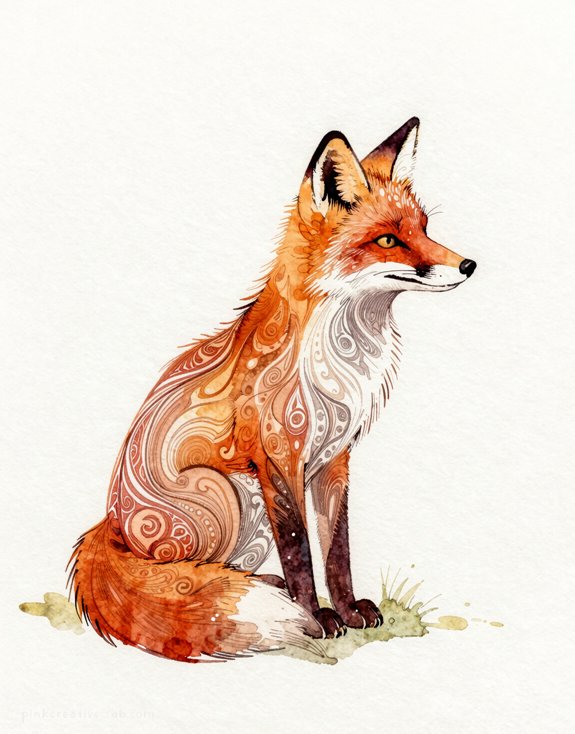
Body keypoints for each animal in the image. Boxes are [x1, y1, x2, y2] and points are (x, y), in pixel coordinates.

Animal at [68, 117, 476, 662]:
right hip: (225, 494)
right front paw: (315, 619)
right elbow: (299, 551)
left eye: (424, 229)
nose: (469, 265)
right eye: (389, 240)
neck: (344, 355)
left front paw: (347, 611)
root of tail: (107, 524)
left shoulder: (335, 459)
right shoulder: (278, 457)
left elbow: (337, 549)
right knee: (187, 575)